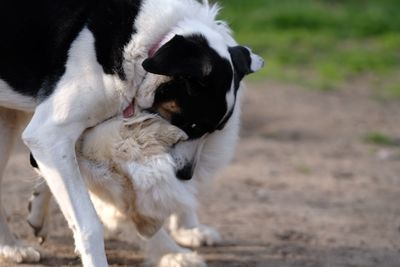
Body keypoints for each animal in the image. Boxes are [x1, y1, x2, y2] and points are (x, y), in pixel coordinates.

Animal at [0, 0, 262, 266]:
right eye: (193, 126)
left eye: (215, 130)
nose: (186, 174)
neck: (144, 42)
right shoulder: (49, 134)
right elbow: (89, 222)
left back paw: (11, 247)